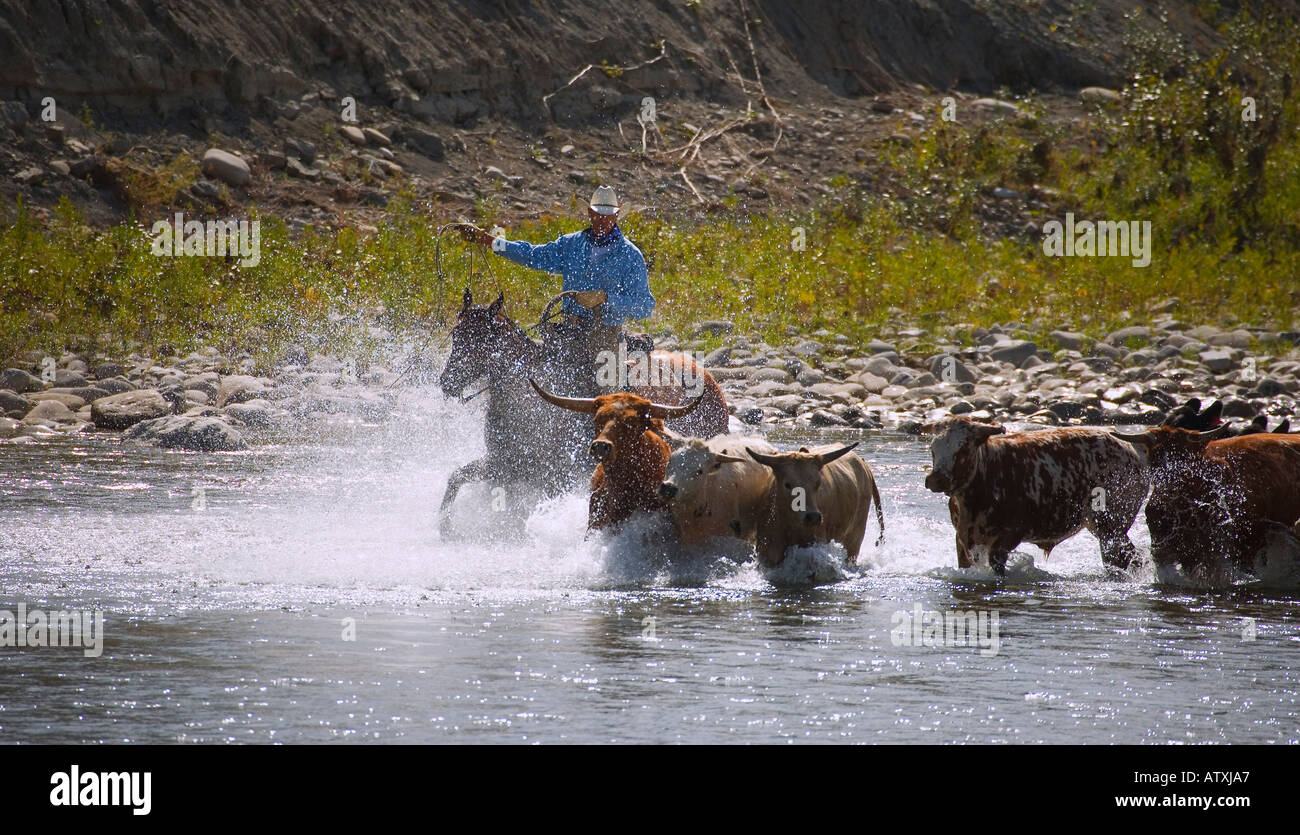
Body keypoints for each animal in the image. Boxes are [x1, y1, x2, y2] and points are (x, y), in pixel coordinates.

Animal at [923, 418, 1147, 575]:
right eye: (933, 448)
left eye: (963, 449)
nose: (935, 479)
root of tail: (1130, 447)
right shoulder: (962, 539)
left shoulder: (1008, 536)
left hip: (1111, 527)